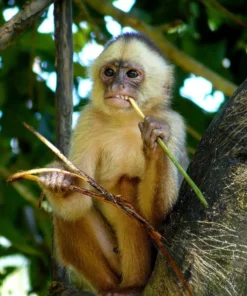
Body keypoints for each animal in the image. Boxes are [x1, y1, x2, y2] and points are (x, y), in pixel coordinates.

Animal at [39, 31, 187, 294]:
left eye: (131, 74)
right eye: (109, 72)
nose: (116, 85)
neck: (125, 122)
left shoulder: (174, 124)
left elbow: (160, 218)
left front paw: (154, 140)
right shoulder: (88, 120)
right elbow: (77, 200)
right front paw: (55, 180)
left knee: (127, 185)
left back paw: (134, 285)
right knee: (71, 213)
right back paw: (108, 287)